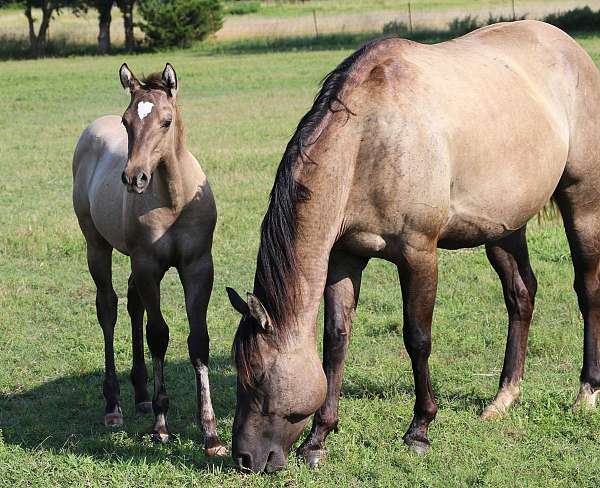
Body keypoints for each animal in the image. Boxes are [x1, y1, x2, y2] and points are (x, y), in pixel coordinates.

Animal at [72, 63, 226, 456]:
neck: (173, 199)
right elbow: (159, 335)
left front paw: (211, 433)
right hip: (97, 245)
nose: (133, 178)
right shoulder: (148, 266)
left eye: (166, 121)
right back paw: (114, 406)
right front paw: (160, 425)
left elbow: (197, 340)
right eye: (127, 122)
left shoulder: (198, 267)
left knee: (133, 304)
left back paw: (140, 394)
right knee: (108, 307)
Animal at [227, 21, 600, 470]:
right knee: (521, 295)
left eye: (260, 376)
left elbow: (417, 339)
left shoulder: (418, 254)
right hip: (503, 226)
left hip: (583, 202)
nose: (244, 458)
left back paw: (586, 393)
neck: (369, 139)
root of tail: (569, 46)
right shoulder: (344, 257)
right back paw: (503, 398)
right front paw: (318, 438)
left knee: (588, 291)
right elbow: (336, 341)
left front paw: (419, 429)